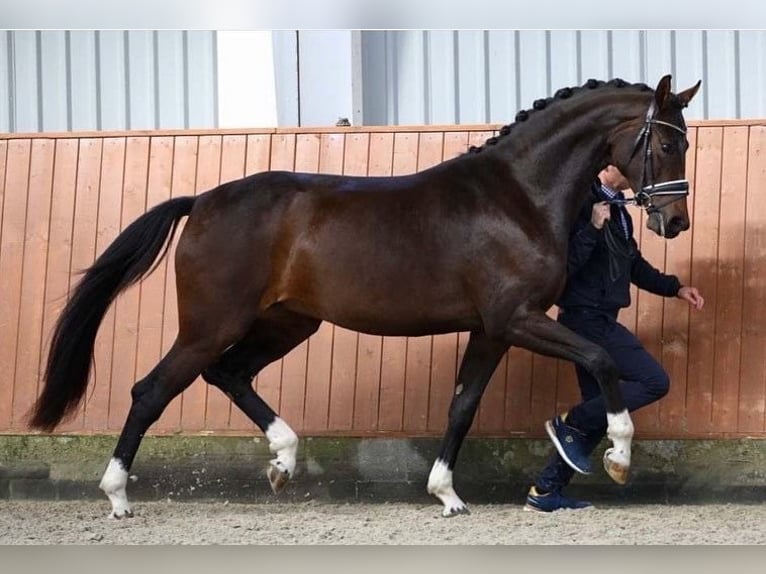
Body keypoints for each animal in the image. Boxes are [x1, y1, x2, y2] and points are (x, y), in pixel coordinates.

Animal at [28, 74, 704, 520]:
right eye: (666, 143)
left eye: (686, 143)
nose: (675, 222)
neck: (516, 196)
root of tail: (201, 202)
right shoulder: (518, 319)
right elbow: (602, 359)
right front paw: (618, 455)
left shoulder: (490, 329)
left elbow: (463, 406)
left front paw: (446, 494)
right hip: (211, 324)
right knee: (152, 391)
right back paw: (118, 496)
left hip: (287, 323)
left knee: (230, 374)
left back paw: (283, 461)